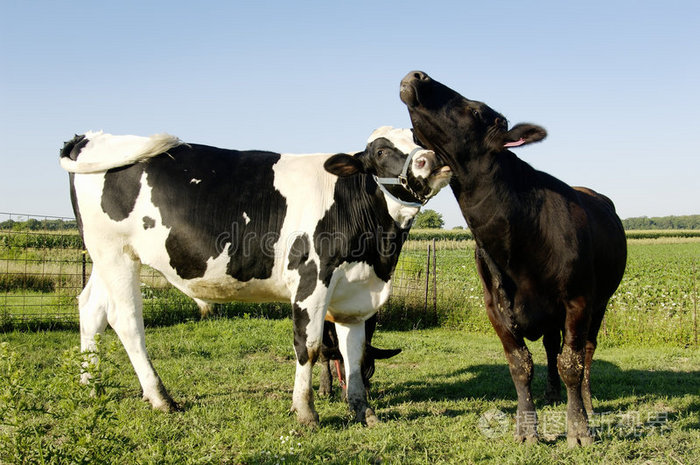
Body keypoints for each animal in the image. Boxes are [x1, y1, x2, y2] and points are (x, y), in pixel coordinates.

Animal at [402, 70, 628, 444]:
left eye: (476, 110)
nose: (417, 75)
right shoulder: (494, 306)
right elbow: (521, 365)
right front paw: (526, 429)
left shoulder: (579, 298)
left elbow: (572, 363)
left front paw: (578, 428)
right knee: (551, 345)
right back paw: (552, 393)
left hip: (600, 302)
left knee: (587, 350)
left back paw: (588, 402)